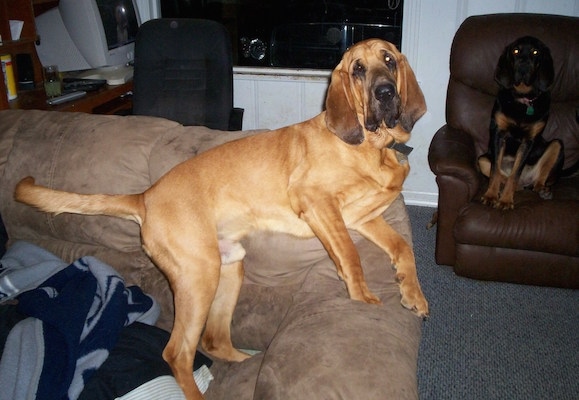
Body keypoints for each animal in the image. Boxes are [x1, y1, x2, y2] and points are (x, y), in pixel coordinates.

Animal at [14, 38, 430, 400]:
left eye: (390, 60)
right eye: (358, 69)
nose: (385, 93)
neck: (375, 148)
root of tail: (145, 197)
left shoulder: (361, 217)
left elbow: (402, 247)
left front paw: (412, 293)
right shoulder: (318, 203)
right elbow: (351, 255)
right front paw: (363, 298)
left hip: (229, 266)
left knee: (213, 340)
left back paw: (246, 360)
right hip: (200, 275)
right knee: (177, 353)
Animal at [478, 35, 564, 209]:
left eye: (535, 52)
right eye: (516, 51)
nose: (523, 67)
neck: (523, 98)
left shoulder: (528, 141)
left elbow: (515, 173)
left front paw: (505, 200)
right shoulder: (498, 133)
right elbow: (495, 172)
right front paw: (491, 196)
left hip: (557, 145)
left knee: (537, 180)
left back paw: (543, 190)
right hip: (483, 159)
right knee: (503, 175)